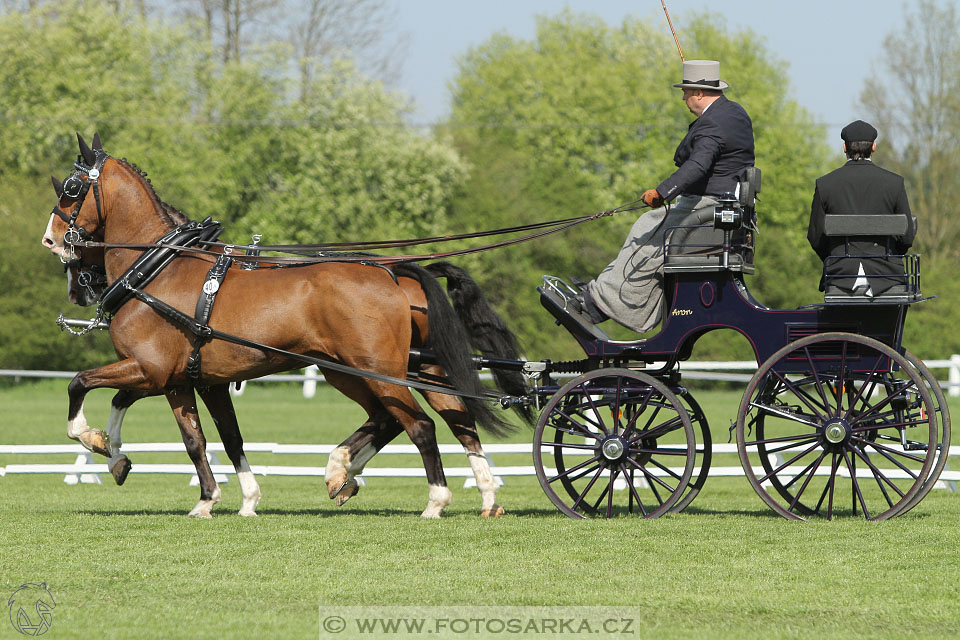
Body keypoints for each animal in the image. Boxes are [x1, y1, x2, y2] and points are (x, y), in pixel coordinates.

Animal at [43, 134, 532, 516]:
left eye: (71, 188)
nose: (52, 242)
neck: (157, 270)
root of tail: (393, 272)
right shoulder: (187, 380)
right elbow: (210, 439)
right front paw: (219, 498)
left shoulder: (151, 370)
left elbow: (80, 383)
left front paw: (92, 439)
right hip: (387, 370)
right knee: (449, 420)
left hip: (377, 371)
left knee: (420, 426)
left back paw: (433, 500)